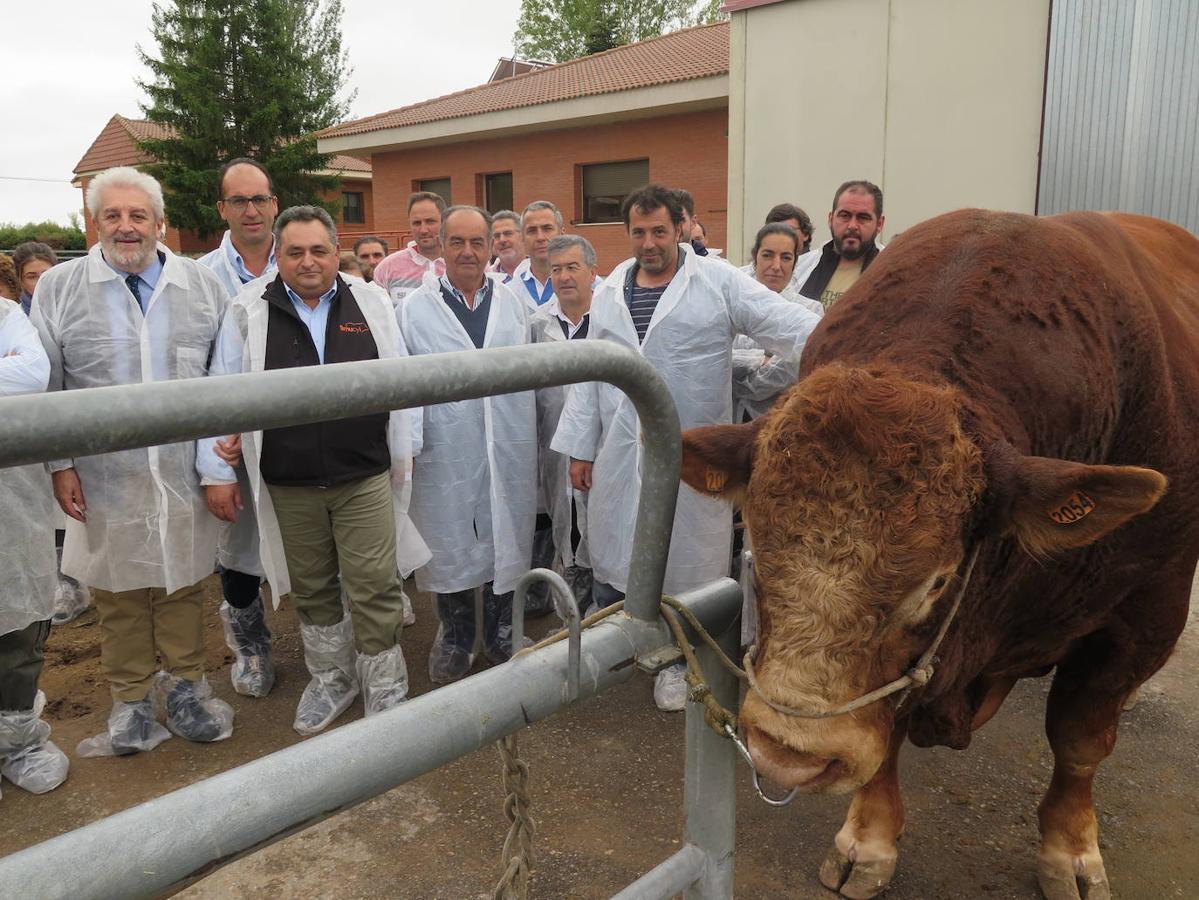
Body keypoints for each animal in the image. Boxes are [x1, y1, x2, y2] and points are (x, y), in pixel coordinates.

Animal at [685, 210, 1199, 900]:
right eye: (759, 555)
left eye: (939, 580)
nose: (789, 753)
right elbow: (891, 725)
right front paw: (868, 841)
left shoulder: (1144, 616)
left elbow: (1080, 741)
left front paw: (1071, 851)